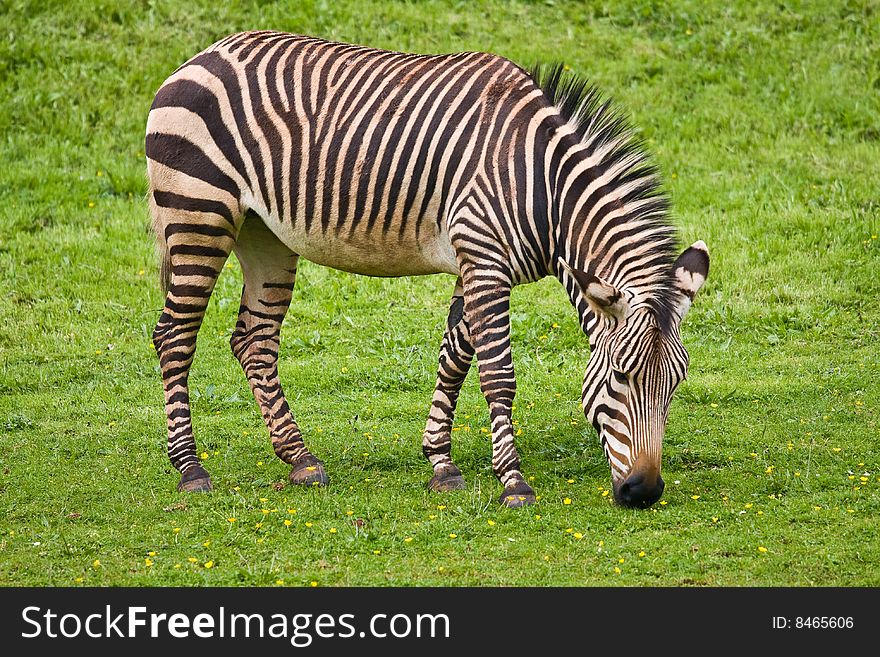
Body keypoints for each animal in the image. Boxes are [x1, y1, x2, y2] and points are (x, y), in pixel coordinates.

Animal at [144, 30, 708, 508]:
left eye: (675, 385)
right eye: (620, 377)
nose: (645, 492)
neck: (542, 189)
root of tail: (204, 54)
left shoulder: (472, 260)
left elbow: (455, 355)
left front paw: (441, 462)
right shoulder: (484, 258)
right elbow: (498, 374)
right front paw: (514, 483)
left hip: (266, 235)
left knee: (254, 340)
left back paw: (300, 459)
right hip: (199, 214)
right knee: (175, 336)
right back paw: (191, 469)